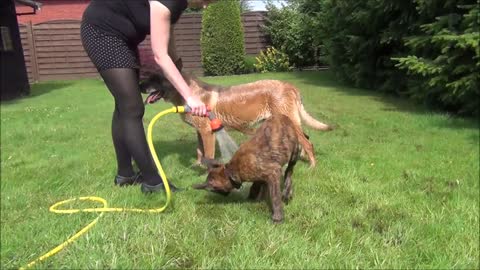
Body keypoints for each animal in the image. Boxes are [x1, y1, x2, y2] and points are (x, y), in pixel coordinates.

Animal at [141, 71, 332, 169]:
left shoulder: (207, 133)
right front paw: (197, 165)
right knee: (305, 138)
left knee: (308, 143)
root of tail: (290, 86)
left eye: (156, 78)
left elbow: (208, 155)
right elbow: (199, 151)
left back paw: (312, 166)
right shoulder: (199, 132)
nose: (140, 86)